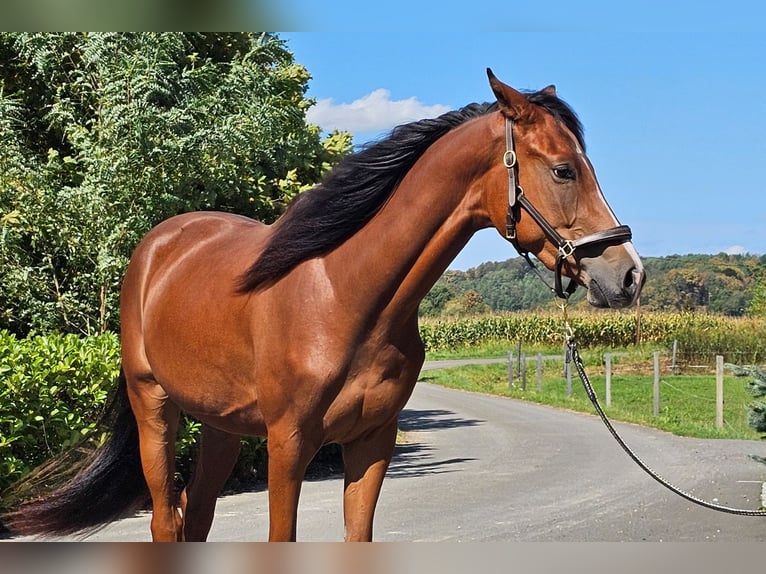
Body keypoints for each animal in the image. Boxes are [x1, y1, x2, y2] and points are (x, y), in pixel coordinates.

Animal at [6, 70, 648, 544]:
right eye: (563, 169)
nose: (628, 275)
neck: (346, 297)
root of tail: (156, 248)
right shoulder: (289, 444)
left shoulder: (371, 442)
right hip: (154, 410)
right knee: (167, 518)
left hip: (221, 426)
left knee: (198, 514)